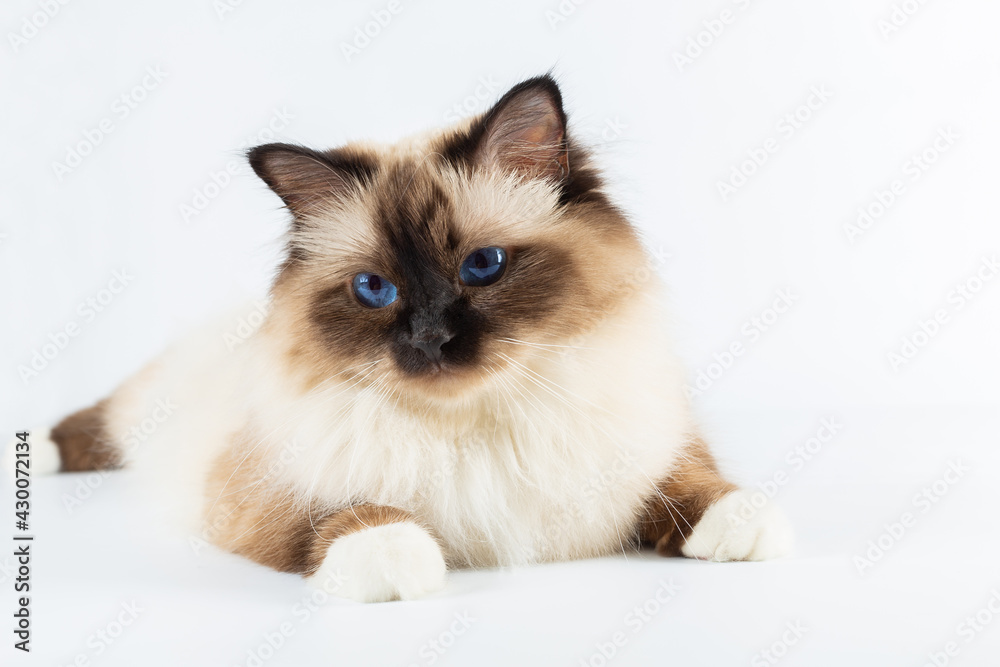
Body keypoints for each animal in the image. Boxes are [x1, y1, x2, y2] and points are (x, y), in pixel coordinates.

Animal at [3, 75, 792, 604]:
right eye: (374, 289)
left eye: (483, 266)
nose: (432, 337)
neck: (478, 423)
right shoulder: (259, 490)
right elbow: (341, 514)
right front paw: (395, 553)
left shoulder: (648, 444)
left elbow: (691, 482)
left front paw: (741, 525)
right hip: (147, 415)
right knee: (94, 424)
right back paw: (32, 452)